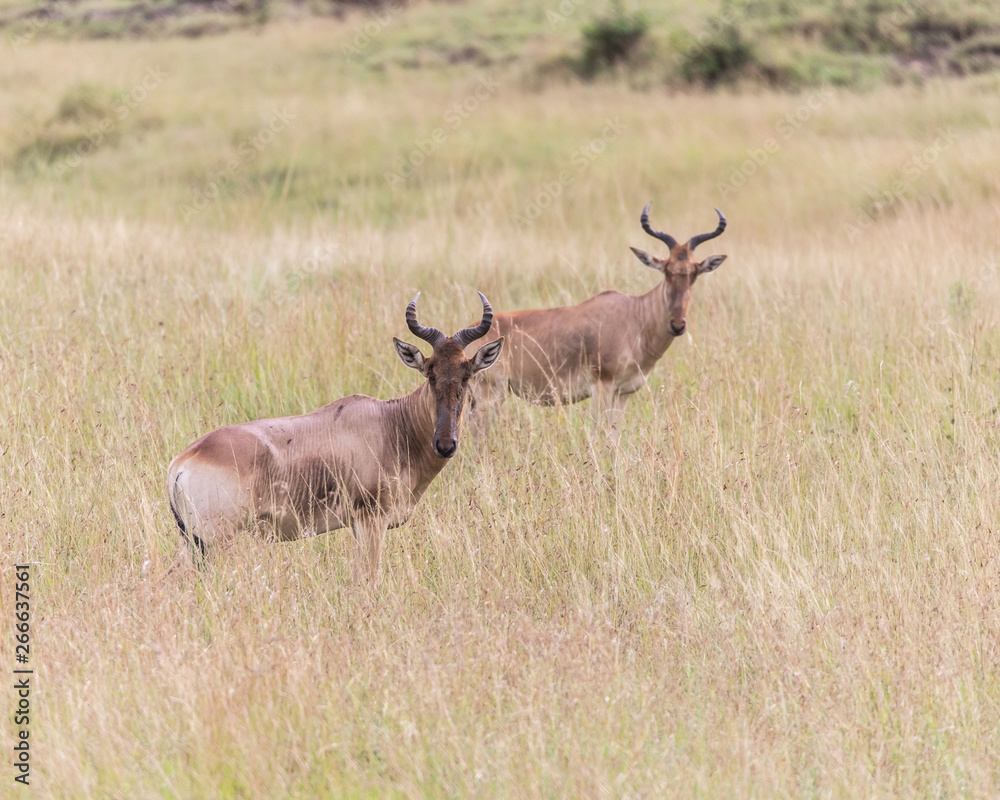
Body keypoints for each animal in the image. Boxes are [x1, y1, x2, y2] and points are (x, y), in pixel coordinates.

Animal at [167, 293, 504, 582]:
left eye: (466, 374)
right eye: (430, 373)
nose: (445, 445)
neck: (392, 424)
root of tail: (181, 463)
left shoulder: (357, 524)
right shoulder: (371, 519)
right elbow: (368, 577)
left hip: (194, 542)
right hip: (214, 538)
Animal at [471, 204, 727, 438]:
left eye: (694, 273)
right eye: (667, 270)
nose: (677, 325)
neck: (635, 317)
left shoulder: (623, 393)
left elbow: (613, 437)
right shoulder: (602, 387)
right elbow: (598, 435)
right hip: (489, 395)